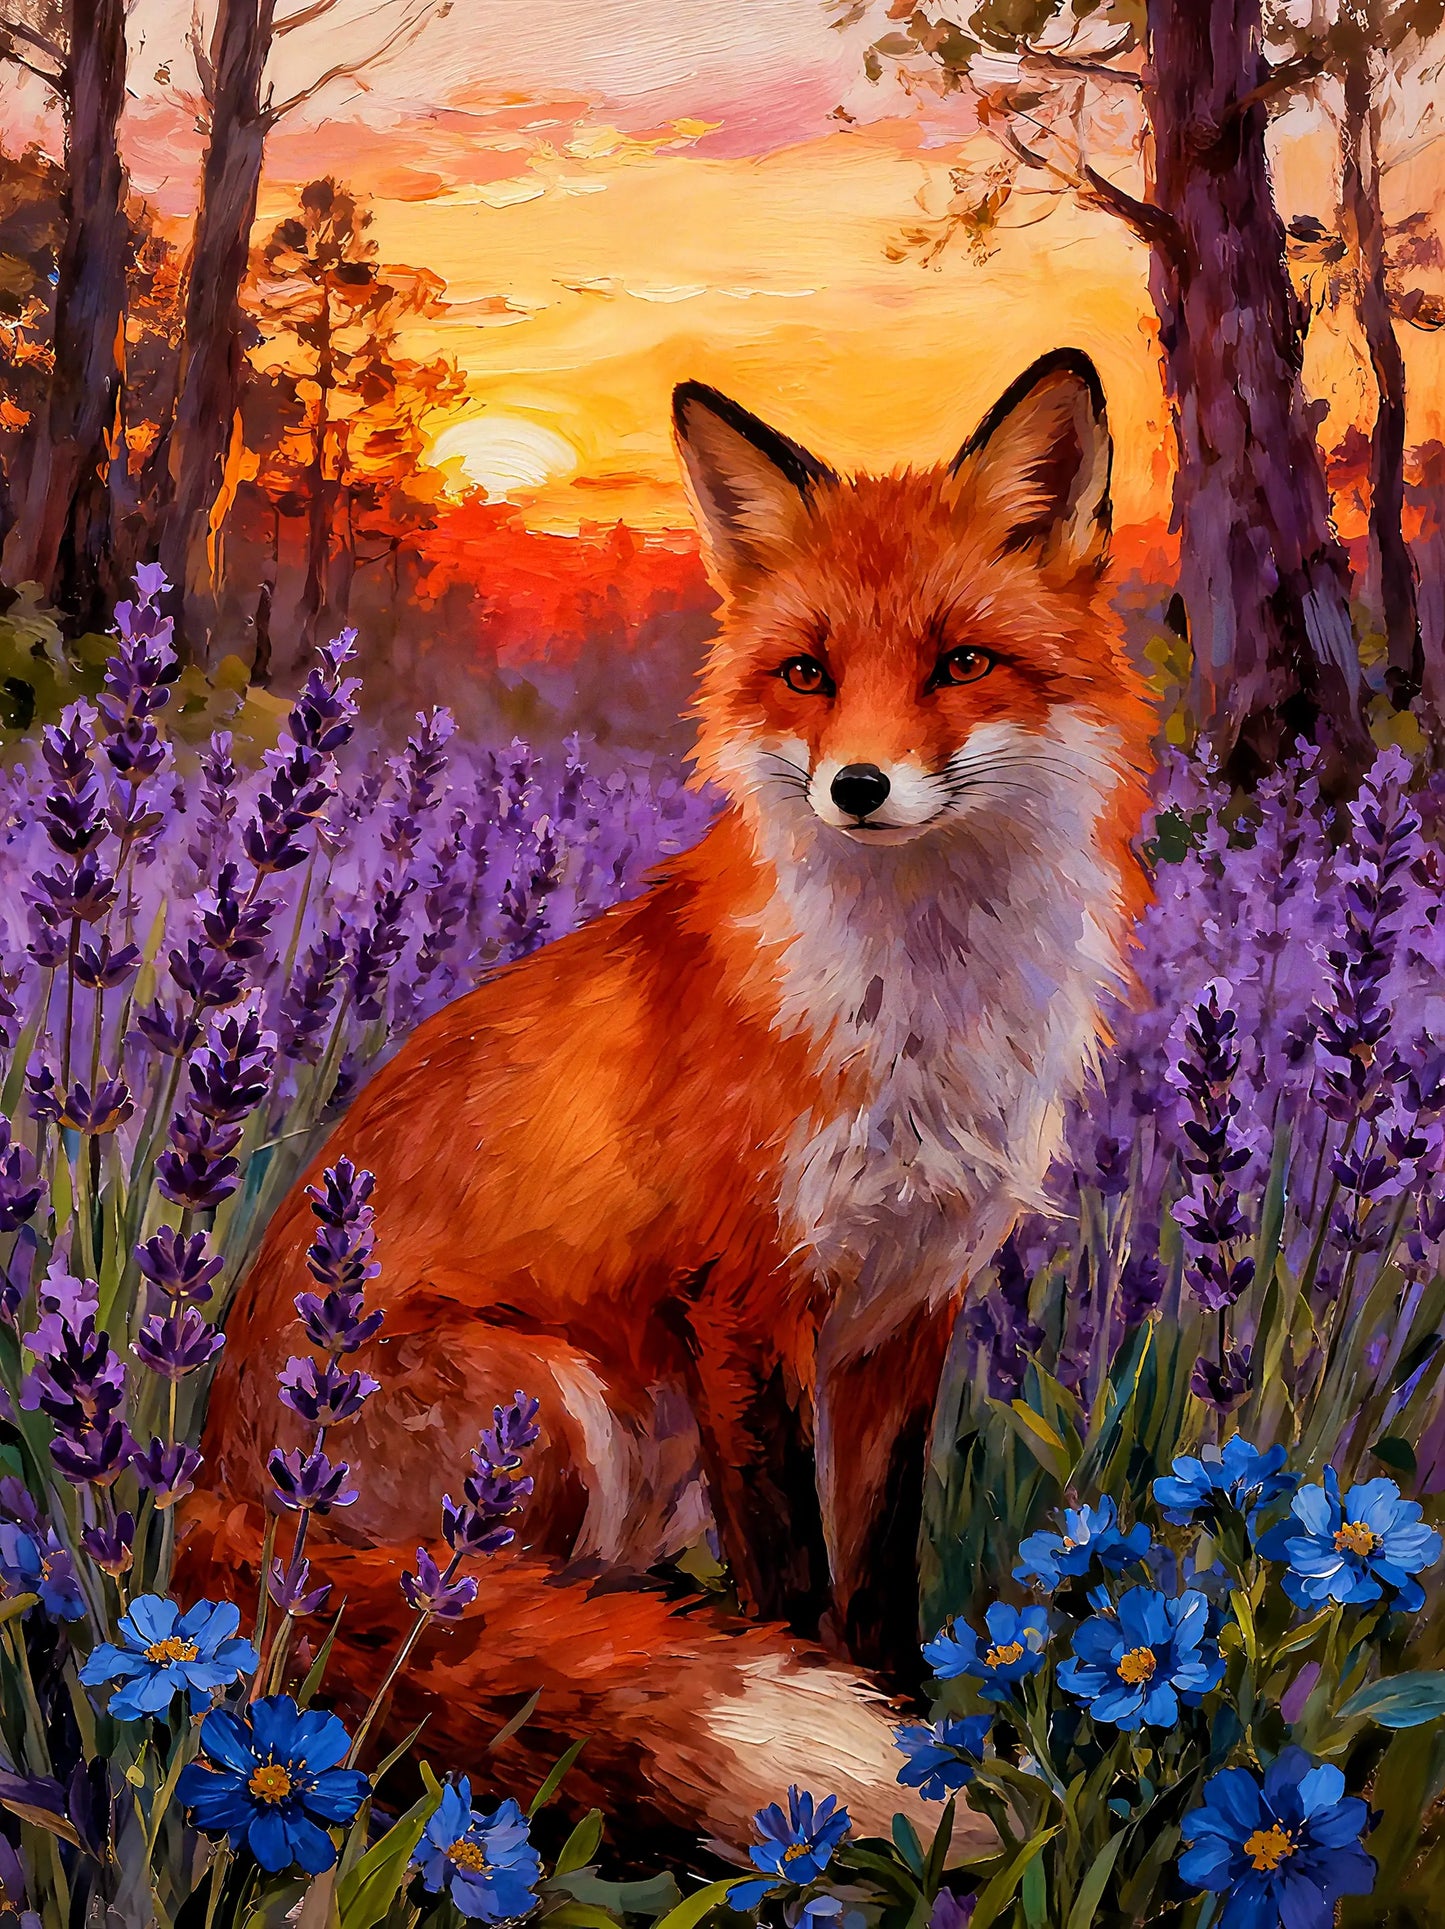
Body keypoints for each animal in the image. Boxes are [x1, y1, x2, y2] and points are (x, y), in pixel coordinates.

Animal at [181, 349, 1154, 1851]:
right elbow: (798, 1581)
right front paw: (830, 1793)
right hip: (558, 1399)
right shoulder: (742, 1297)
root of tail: (223, 1509)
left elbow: (877, 1570)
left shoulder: (908, 1302)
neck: (916, 1010)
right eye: (808, 674)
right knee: (457, 1631)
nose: (857, 787)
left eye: (960, 663)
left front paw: (912, 1740)